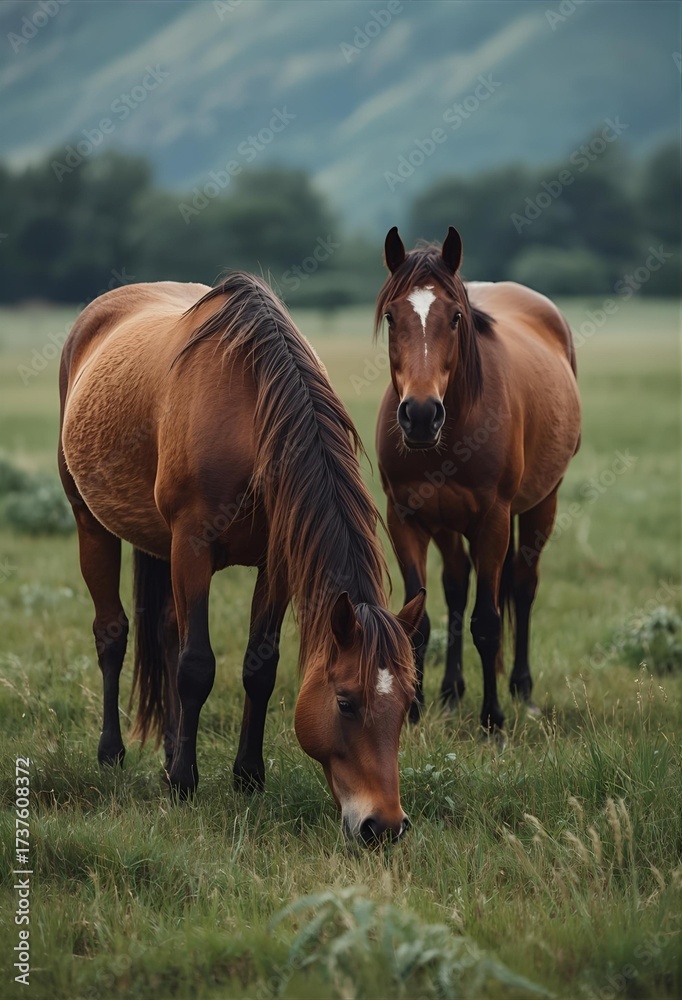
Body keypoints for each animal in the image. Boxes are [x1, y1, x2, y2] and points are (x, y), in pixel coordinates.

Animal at [58, 271, 425, 843]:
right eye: (345, 701)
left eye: (408, 704)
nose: (384, 826)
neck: (250, 421)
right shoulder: (191, 546)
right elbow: (196, 665)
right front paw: (183, 782)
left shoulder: (276, 563)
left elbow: (260, 667)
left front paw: (247, 776)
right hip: (91, 523)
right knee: (113, 635)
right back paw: (113, 754)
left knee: (166, 631)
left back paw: (170, 748)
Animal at [374, 226, 581, 734]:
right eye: (391, 316)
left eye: (455, 318)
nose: (421, 415)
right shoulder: (405, 518)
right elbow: (419, 618)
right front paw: (412, 712)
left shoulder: (492, 521)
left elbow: (486, 622)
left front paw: (493, 721)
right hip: (448, 524)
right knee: (455, 584)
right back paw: (450, 693)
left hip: (542, 504)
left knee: (523, 586)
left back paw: (522, 692)